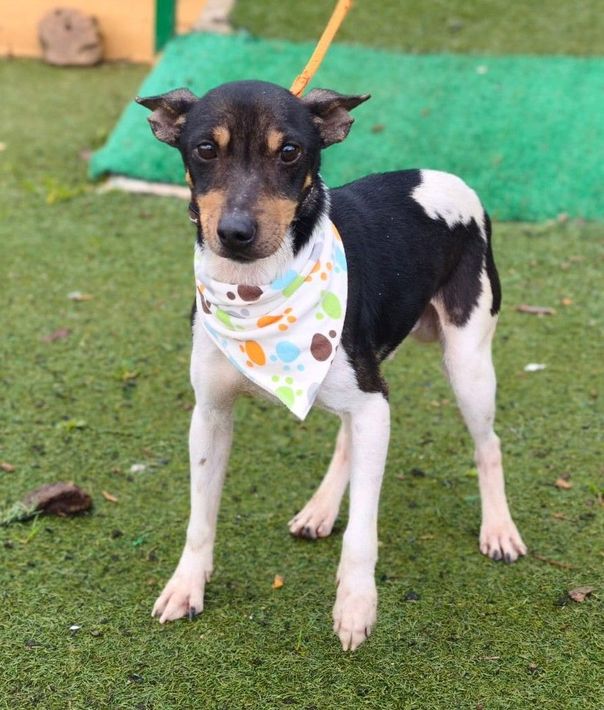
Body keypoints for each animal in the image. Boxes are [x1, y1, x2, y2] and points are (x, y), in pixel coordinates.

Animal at [136, 80, 526, 651]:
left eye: (290, 152)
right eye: (205, 149)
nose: (235, 232)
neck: (256, 292)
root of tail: (448, 179)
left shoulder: (373, 404)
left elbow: (363, 529)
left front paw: (356, 604)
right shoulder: (209, 414)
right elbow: (200, 516)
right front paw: (187, 584)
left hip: (468, 363)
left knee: (488, 444)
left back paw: (498, 528)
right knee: (348, 436)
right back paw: (320, 509)